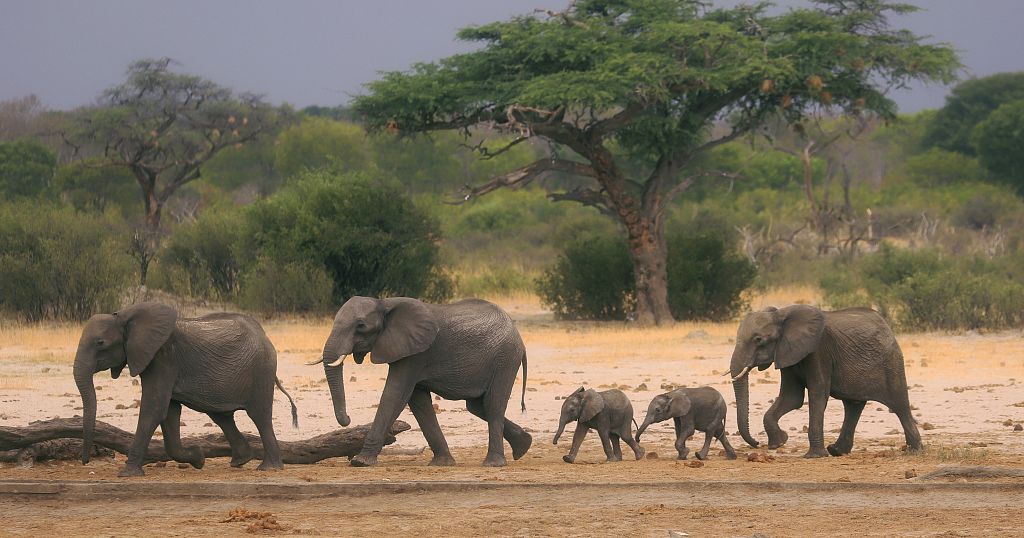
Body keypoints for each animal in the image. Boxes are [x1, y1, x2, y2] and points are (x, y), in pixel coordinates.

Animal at [309, 295, 532, 467]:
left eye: (361, 326)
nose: (347, 419)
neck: (384, 303)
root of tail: (519, 337)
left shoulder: (416, 355)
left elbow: (395, 394)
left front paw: (360, 462)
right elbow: (418, 402)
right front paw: (442, 463)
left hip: (505, 359)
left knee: (493, 405)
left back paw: (493, 464)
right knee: (477, 406)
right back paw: (523, 446)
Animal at [729, 305, 921, 457]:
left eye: (758, 340)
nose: (756, 443)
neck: (782, 314)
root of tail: (887, 326)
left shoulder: (818, 351)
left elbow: (817, 394)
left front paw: (813, 456)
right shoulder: (787, 353)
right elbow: (791, 397)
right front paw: (779, 442)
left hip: (891, 362)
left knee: (899, 404)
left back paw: (915, 450)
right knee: (853, 406)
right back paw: (836, 451)